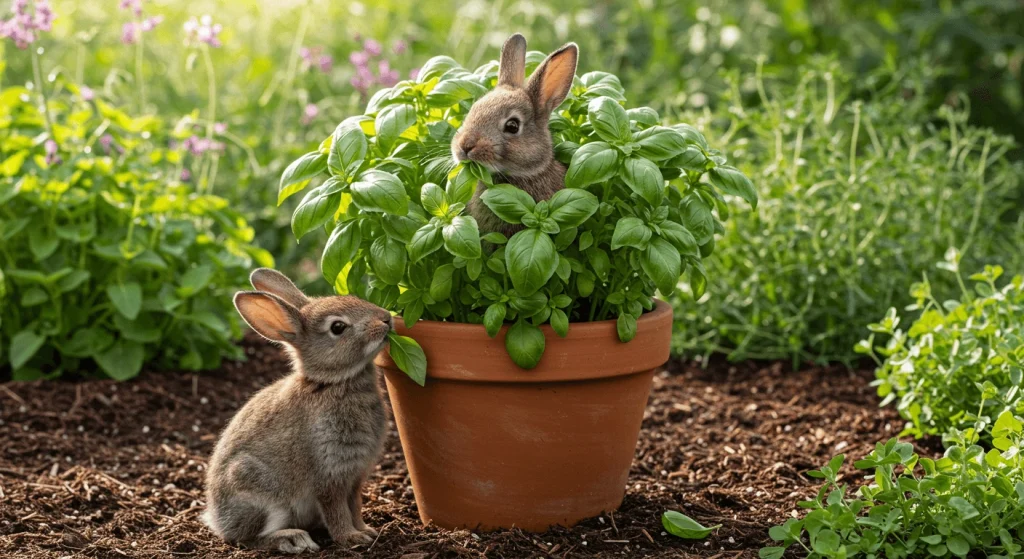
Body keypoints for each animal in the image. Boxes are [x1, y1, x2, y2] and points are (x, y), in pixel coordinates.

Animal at [202, 268, 391, 548]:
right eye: (338, 327)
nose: (387, 318)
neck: (331, 383)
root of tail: (216, 519)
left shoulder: (355, 478)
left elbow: (354, 505)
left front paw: (366, 529)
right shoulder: (329, 473)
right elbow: (336, 509)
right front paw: (351, 537)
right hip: (260, 492)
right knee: (249, 539)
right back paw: (292, 539)